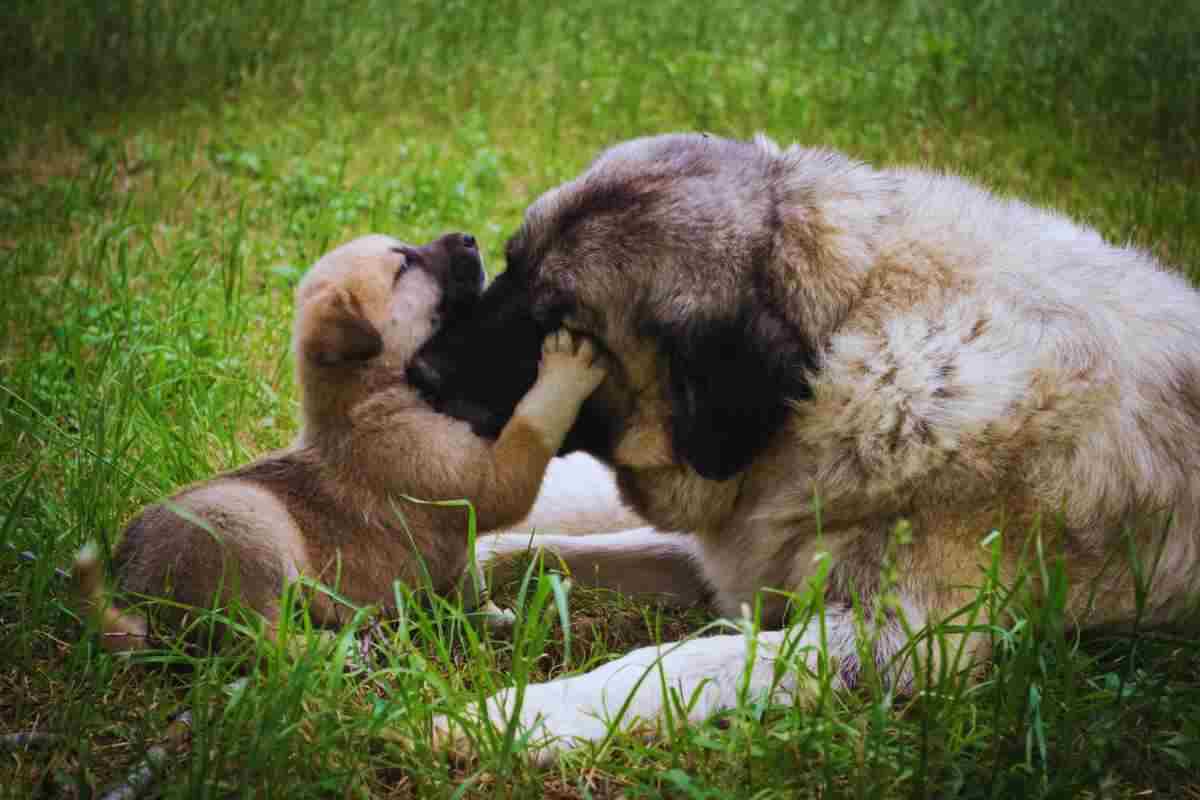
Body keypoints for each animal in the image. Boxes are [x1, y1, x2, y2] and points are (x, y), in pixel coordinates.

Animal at [72, 231, 609, 652]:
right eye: (404, 264)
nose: (470, 238)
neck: (371, 397)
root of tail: (131, 586)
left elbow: (470, 586)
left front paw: (497, 619)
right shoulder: (483, 481)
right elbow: (531, 426)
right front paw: (566, 370)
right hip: (250, 528)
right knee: (260, 641)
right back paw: (337, 648)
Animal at [410, 134, 1200, 762]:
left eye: (557, 323)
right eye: (509, 263)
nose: (419, 372)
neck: (846, 334)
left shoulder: (904, 640)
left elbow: (680, 661)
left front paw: (520, 717)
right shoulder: (738, 557)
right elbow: (548, 550)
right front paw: (460, 578)